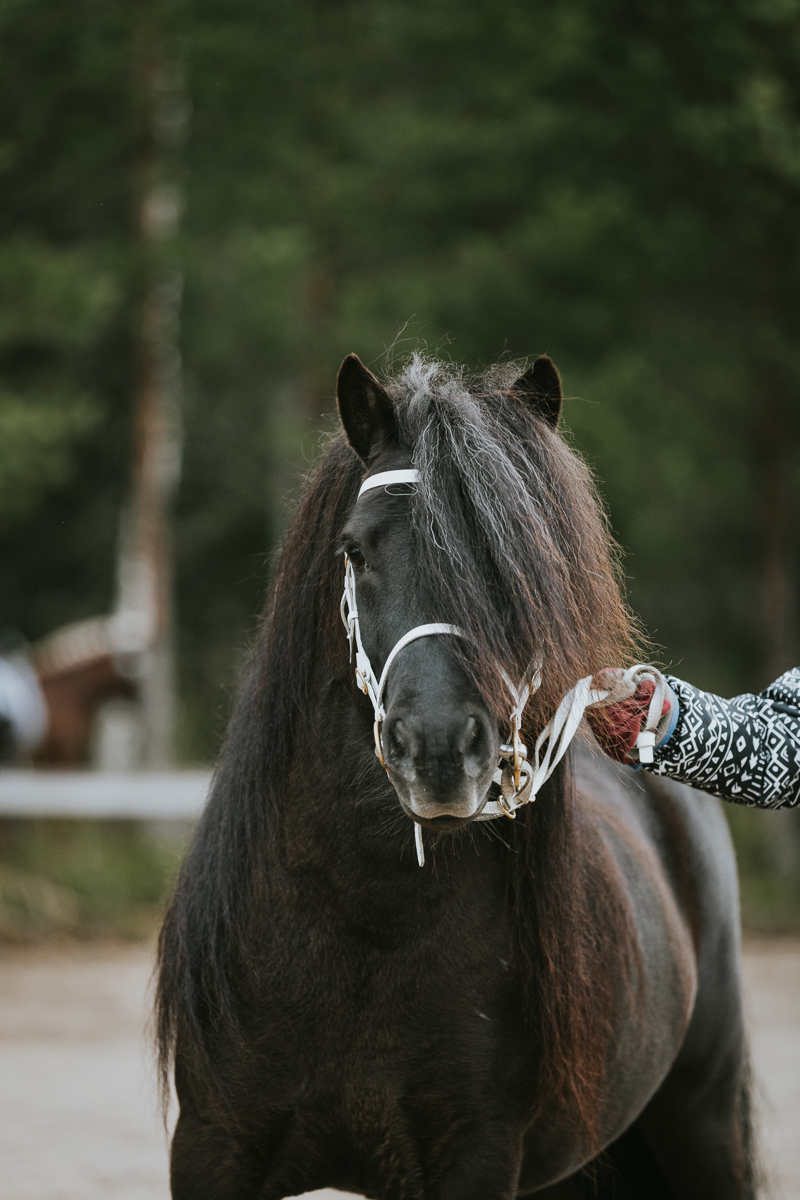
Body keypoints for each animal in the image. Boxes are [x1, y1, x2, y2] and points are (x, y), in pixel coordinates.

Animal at [156, 352, 756, 1199]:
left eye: (520, 564)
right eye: (356, 550)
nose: (440, 750)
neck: (360, 923)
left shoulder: (475, 1154)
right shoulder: (213, 1147)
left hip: (704, 1120)